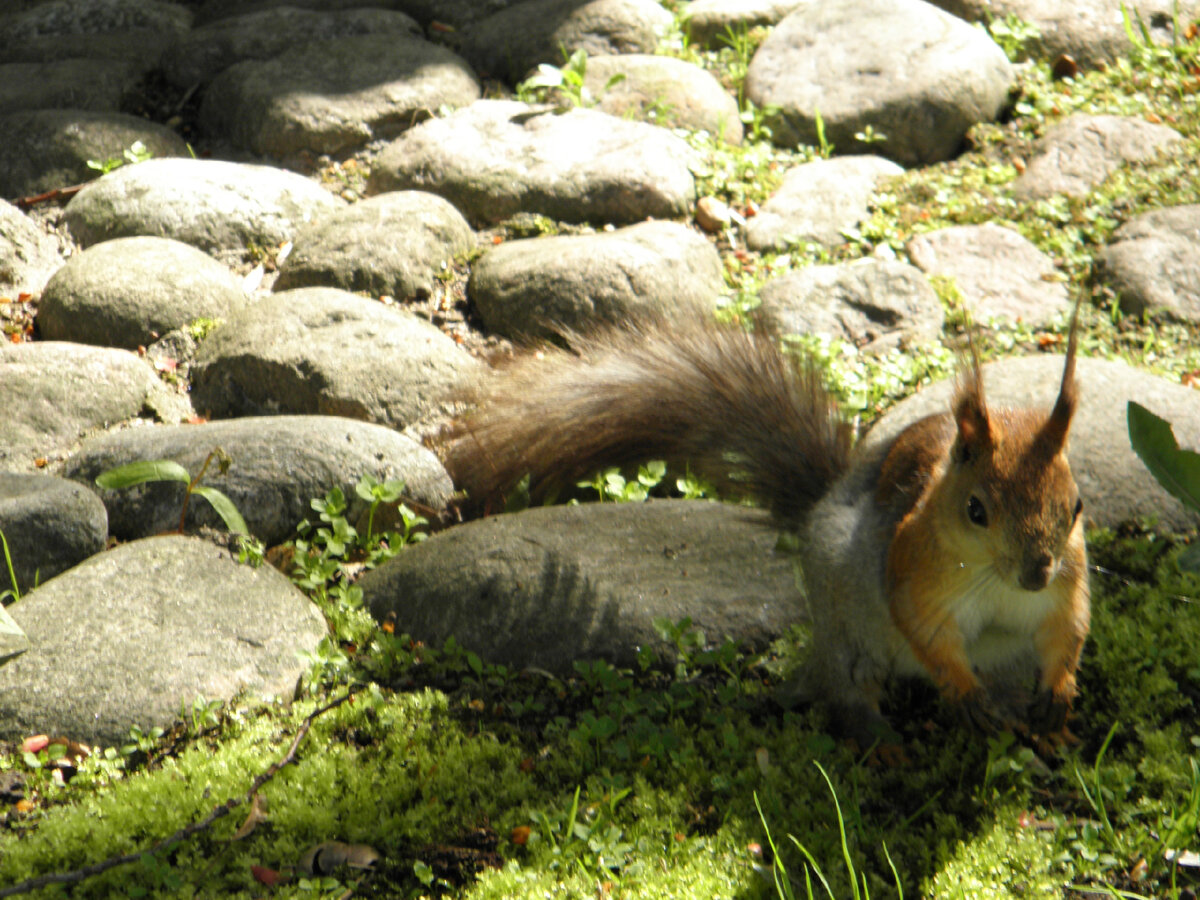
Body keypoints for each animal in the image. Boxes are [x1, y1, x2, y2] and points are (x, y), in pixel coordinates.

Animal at [439, 312, 1089, 748]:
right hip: (848, 628)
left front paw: (1060, 691)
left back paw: (1038, 733)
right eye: (977, 510)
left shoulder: (1068, 589)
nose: (1037, 571)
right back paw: (883, 740)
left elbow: (1068, 633)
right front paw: (960, 688)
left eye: (1077, 506)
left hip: (1005, 658)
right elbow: (930, 636)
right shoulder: (914, 580)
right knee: (845, 692)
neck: (996, 584)